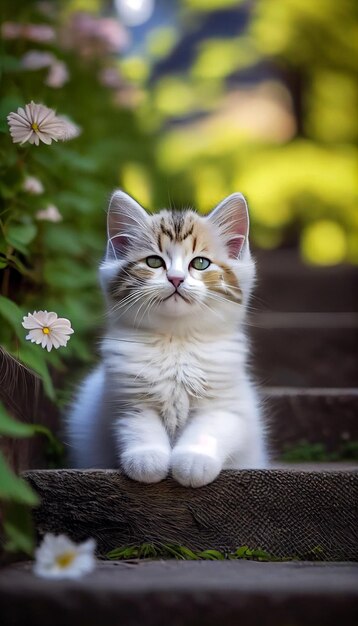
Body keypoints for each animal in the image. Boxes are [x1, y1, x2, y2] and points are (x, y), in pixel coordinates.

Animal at [66, 188, 268, 486]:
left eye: (200, 263)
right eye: (154, 262)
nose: (175, 278)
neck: (177, 343)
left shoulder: (226, 405)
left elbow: (209, 429)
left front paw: (194, 462)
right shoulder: (128, 402)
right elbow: (140, 429)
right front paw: (147, 460)